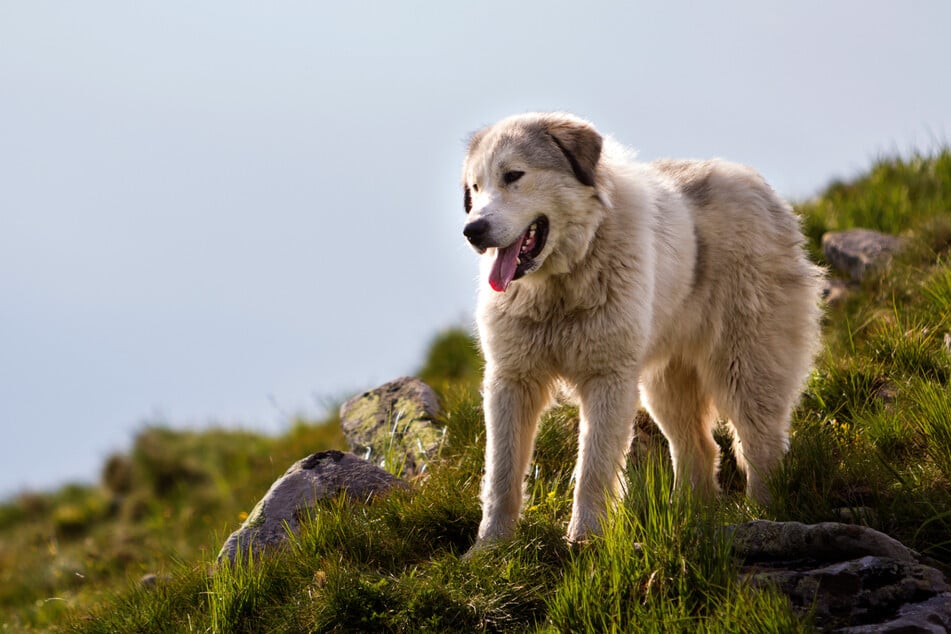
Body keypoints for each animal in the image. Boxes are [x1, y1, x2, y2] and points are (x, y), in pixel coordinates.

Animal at [462, 110, 824, 544]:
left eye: (514, 175)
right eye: (475, 187)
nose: (472, 230)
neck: (561, 286)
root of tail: (760, 188)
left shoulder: (609, 380)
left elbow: (594, 468)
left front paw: (585, 540)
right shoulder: (512, 380)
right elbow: (502, 472)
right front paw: (491, 546)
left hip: (745, 365)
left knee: (759, 440)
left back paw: (766, 513)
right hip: (665, 384)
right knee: (699, 447)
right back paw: (688, 516)